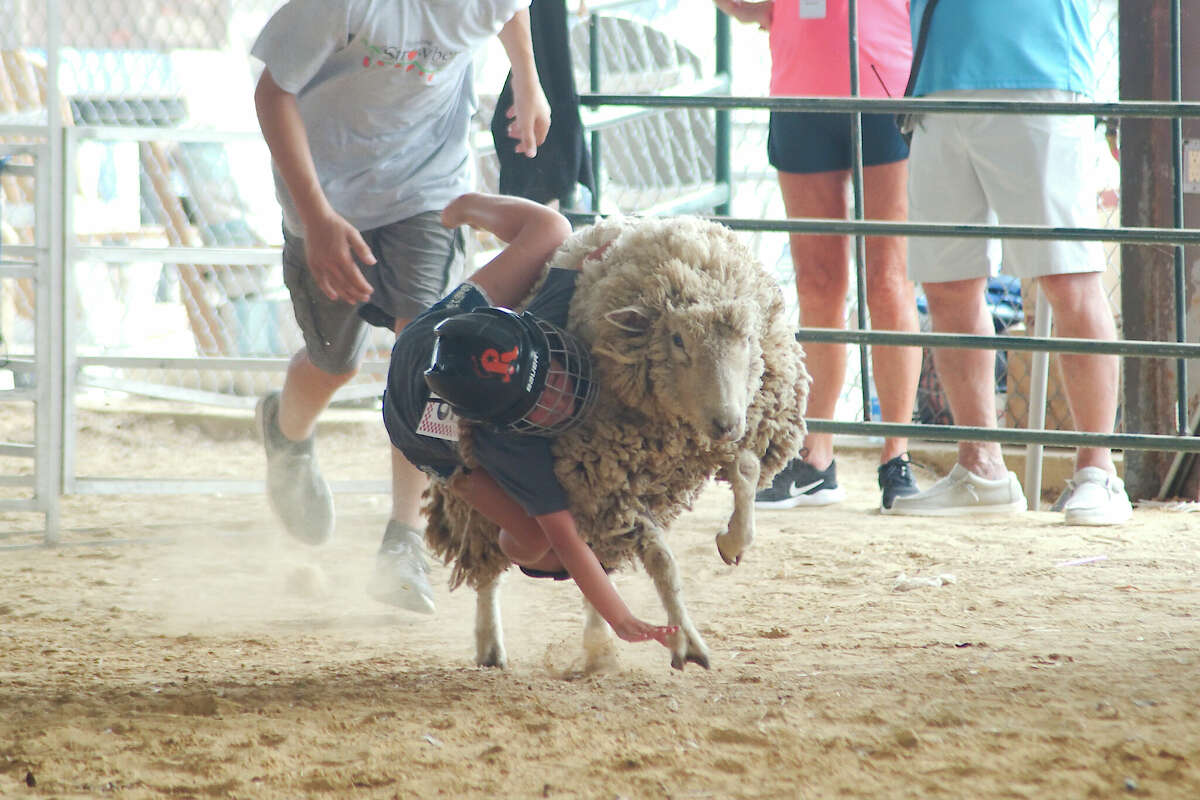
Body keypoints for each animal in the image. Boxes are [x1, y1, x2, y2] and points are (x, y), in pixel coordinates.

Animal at [422, 212, 806, 671]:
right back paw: (490, 643)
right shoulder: (608, 491)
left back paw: (598, 647)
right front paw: (686, 642)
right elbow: (663, 564)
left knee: (594, 565)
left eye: (748, 338)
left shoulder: (747, 427)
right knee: (490, 566)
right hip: (489, 500)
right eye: (677, 340)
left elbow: (746, 470)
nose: (726, 423)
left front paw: (732, 541)